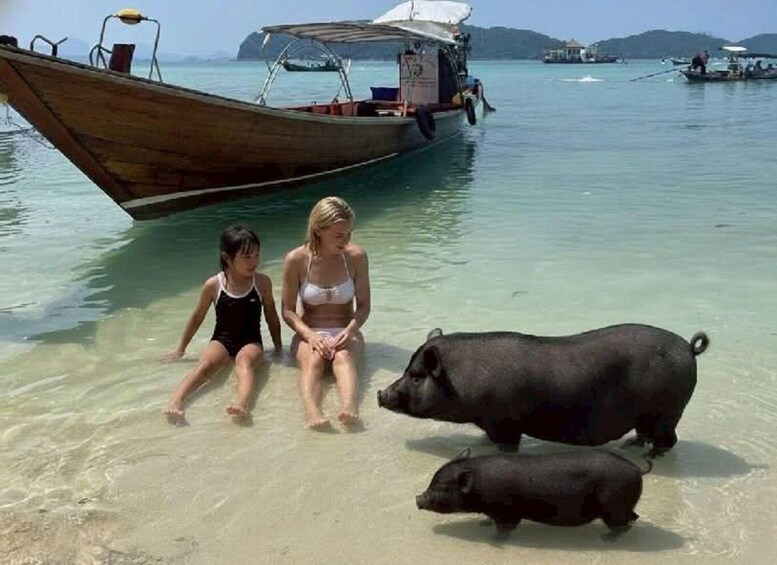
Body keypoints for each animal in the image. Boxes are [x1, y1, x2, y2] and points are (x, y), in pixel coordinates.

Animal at [378, 324, 709, 455]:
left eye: (416, 376)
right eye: (406, 371)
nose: (381, 394)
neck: (461, 382)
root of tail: (689, 348)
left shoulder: (504, 422)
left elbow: (507, 444)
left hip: (667, 412)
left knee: (668, 440)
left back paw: (651, 456)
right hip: (647, 416)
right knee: (644, 433)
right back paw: (630, 446)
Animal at [416, 447, 651, 539]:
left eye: (442, 488)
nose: (418, 498)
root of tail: (637, 469)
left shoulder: (506, 512)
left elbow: (505, 528)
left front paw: (493, 538)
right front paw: (483, 524)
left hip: (613, 505)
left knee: (622, 524)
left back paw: (605, 539)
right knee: (634, 517)